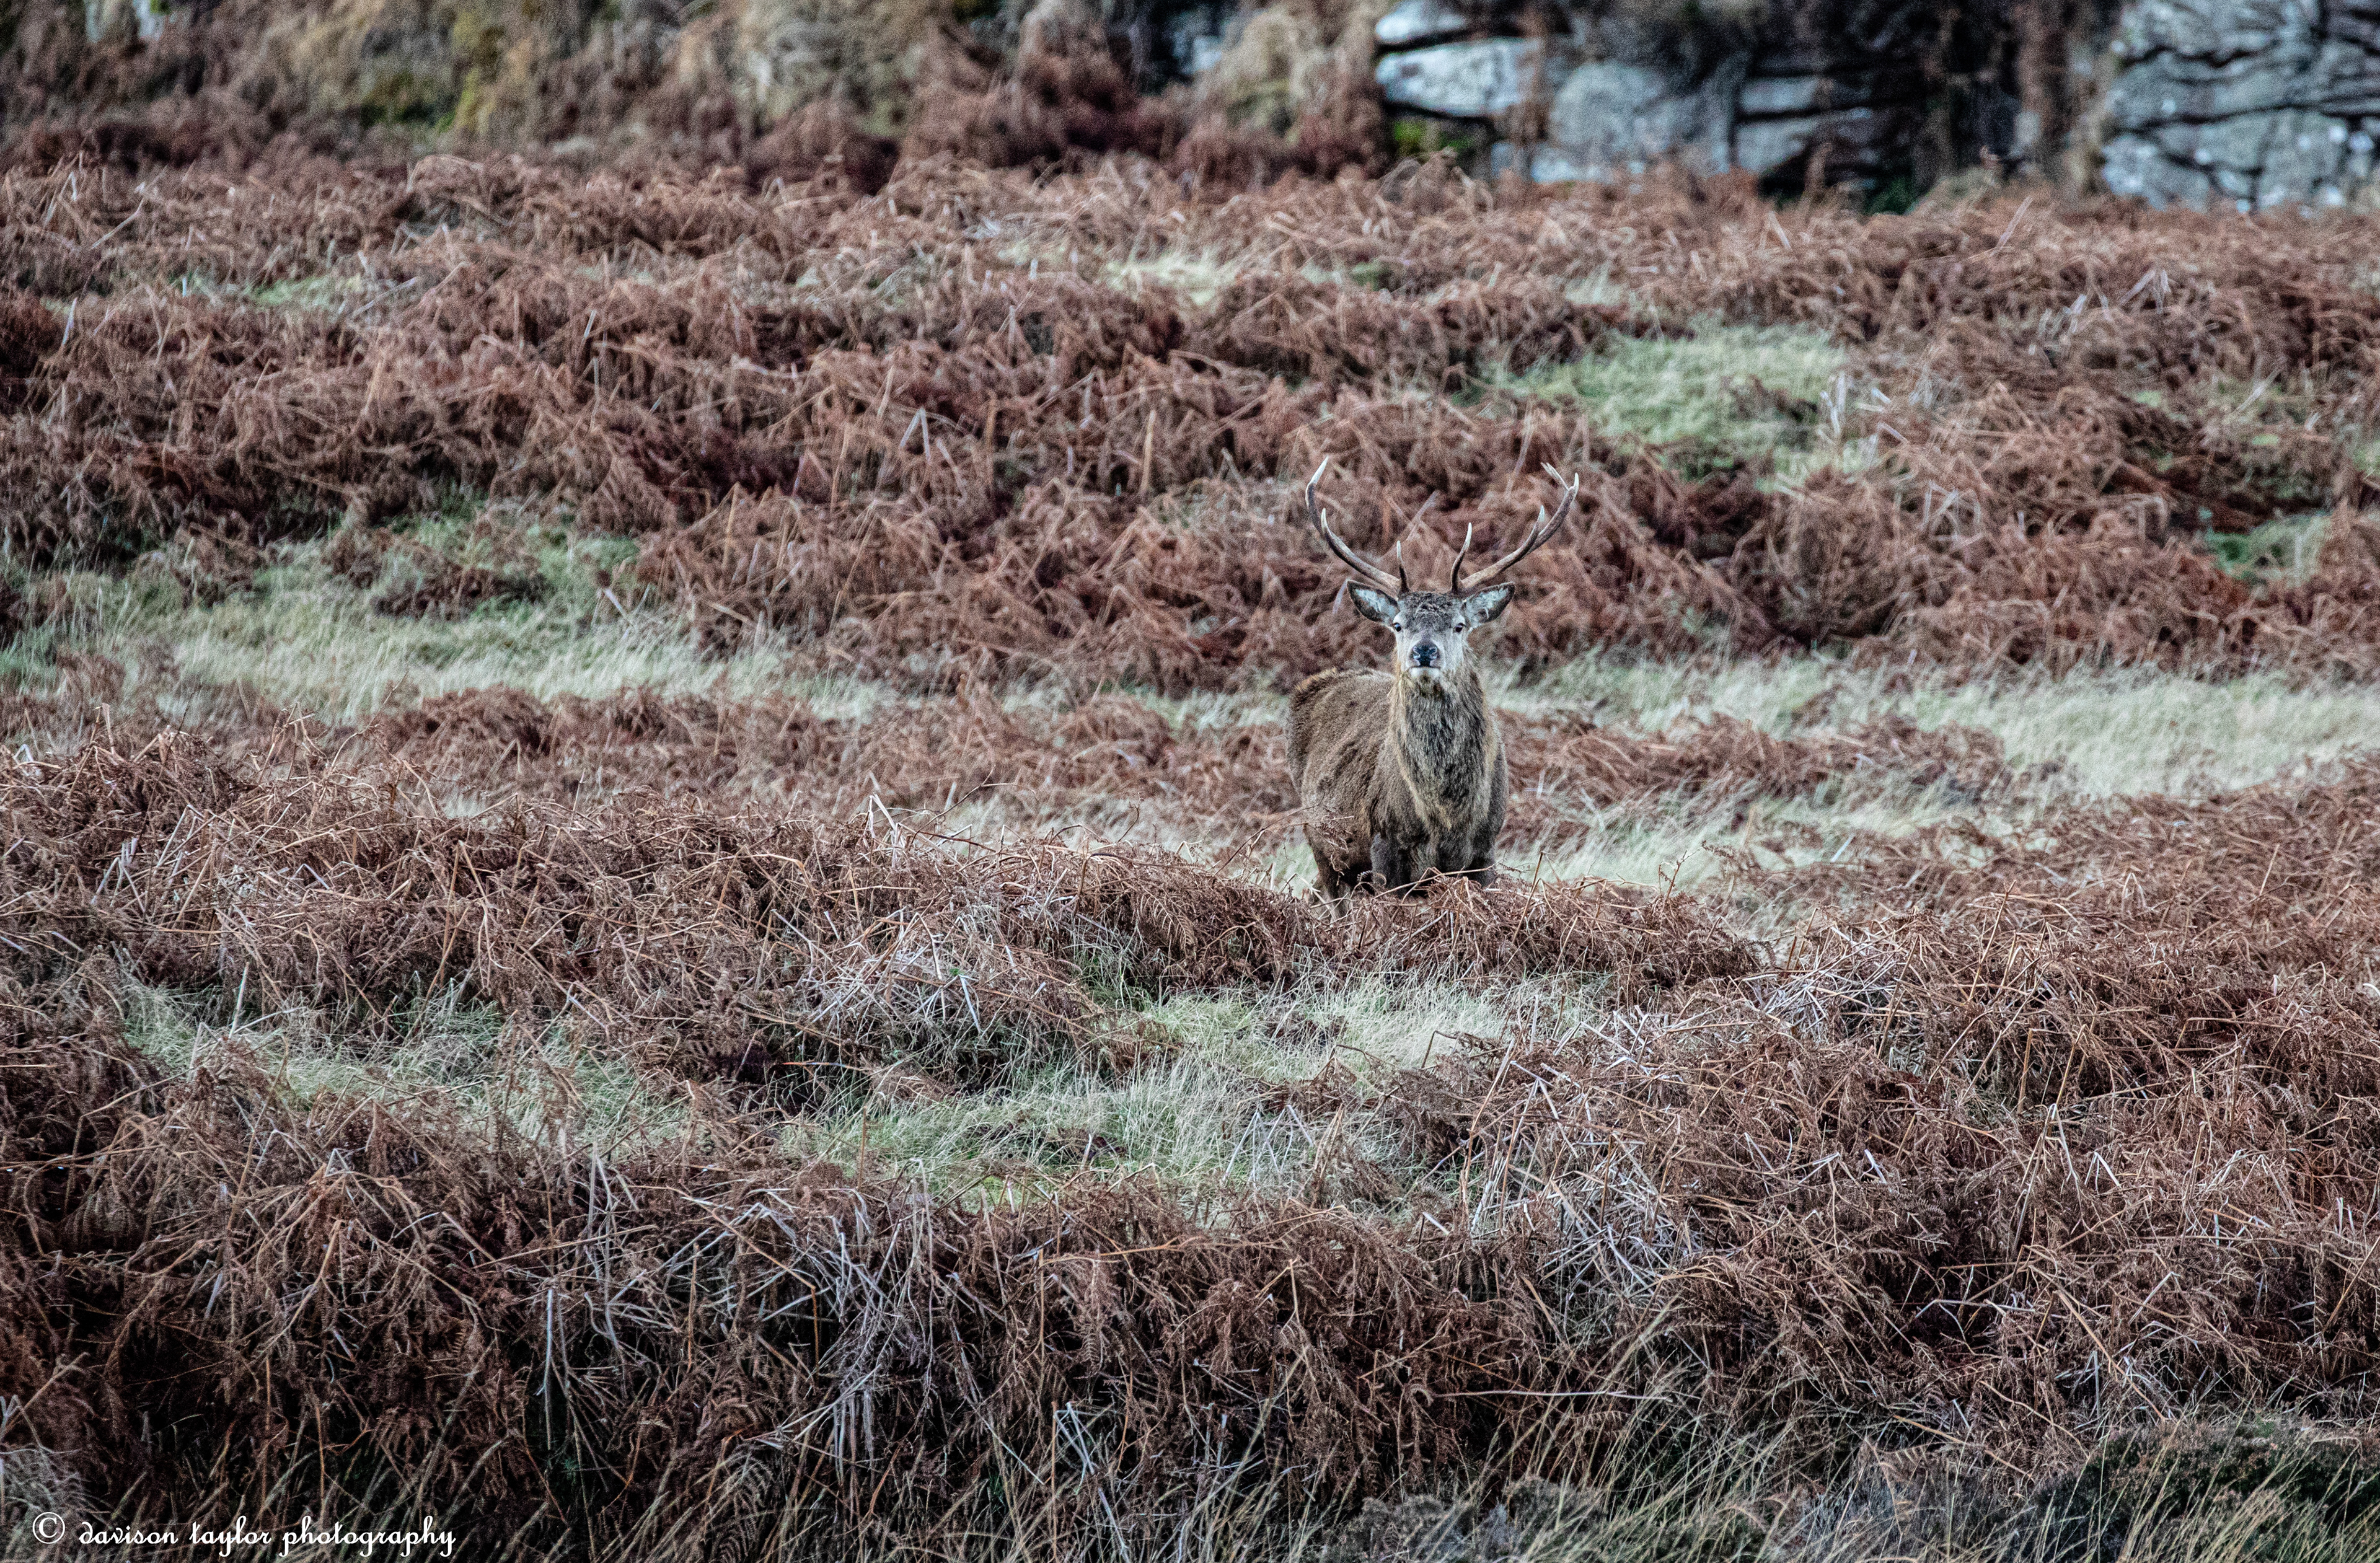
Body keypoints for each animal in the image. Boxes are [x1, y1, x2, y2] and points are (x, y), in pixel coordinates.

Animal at [1286, 461, 1579, 899]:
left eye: (1459, 625)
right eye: (1398, 625)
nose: (1424, 651)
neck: (1446, 817)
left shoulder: (1486, 848)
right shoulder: (1385, 838)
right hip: (1320, 841)